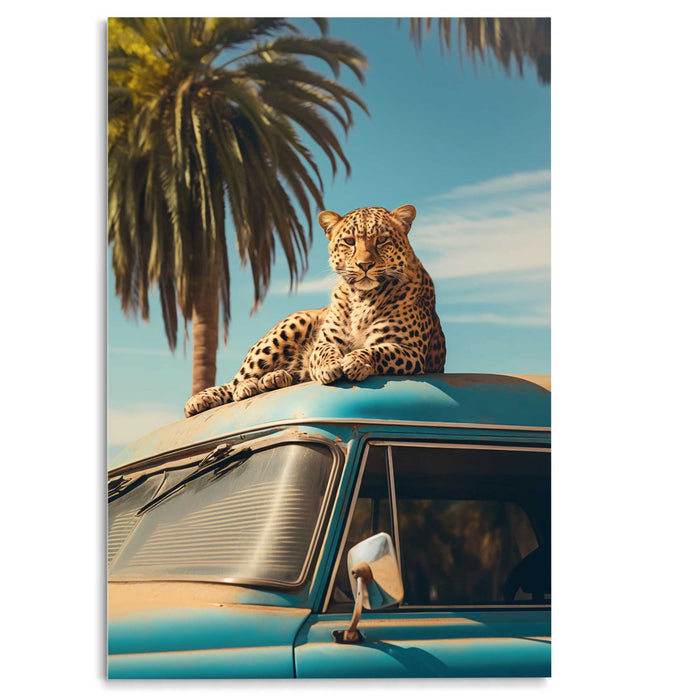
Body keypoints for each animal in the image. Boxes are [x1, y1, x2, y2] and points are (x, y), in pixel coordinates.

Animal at [184, 204, 446, 417]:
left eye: (382, 240)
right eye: (350, 241)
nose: (364, 265)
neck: (362, 297)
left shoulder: (409, 350)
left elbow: (379, 350)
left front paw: (356, 361)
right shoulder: (326, 341)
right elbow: (324, 352)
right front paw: (332, 366)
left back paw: (273, 379)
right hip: (294, 323)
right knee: (235, 381)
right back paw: (217, 395)